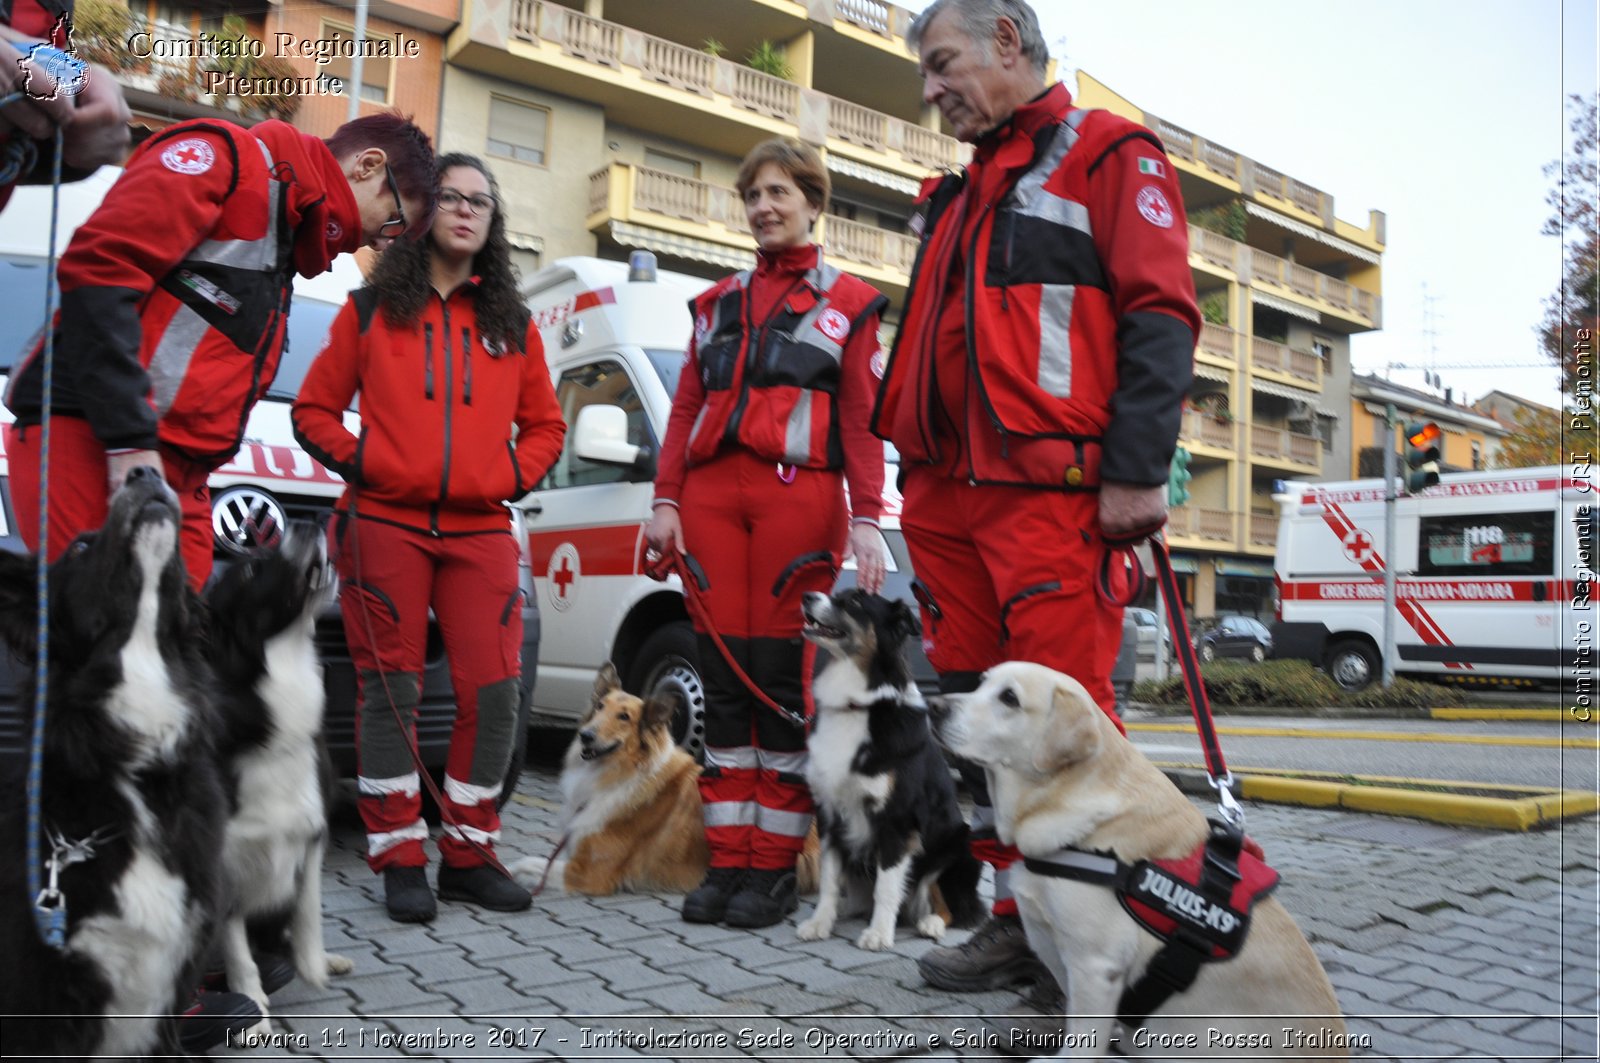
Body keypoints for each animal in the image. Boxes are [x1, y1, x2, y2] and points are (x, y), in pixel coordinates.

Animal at [206, 525, 353, 1030]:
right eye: (251, 569)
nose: (306, 527)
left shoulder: (313, 830)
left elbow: (308, 906)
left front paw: (313, 963)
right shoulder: (220, 866)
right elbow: (236, 946)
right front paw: (252, 1011)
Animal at [793, 589, 979, 954]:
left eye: (853, 602)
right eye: (835, 595)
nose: (807, 595)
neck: (858, 705)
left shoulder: (897, 819)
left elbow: (887, 885)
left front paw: (878, 934)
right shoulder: (830, 813)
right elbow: (829, 879)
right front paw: (820, 923)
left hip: (958, 845)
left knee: (951, 904)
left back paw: (931, 922)